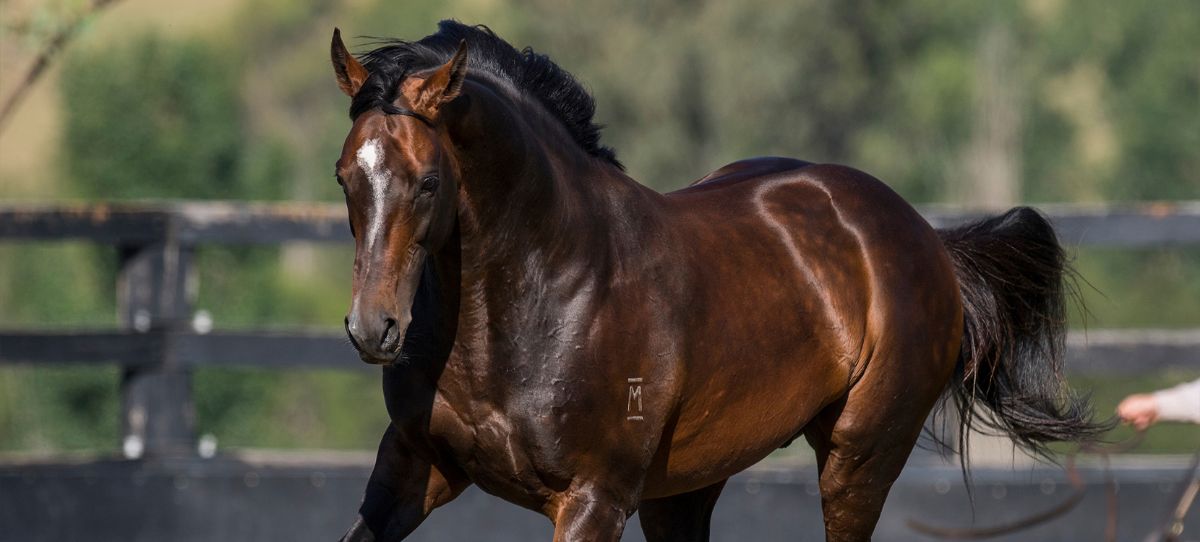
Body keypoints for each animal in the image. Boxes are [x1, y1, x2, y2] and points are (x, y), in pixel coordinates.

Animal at [328, 21, 1105, 541]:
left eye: (429, 183)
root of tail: (923, 237)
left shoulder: (592, 498)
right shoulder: (410, 466)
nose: (373, 329)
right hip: (687, 486)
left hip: (860, 456)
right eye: (344, 177)